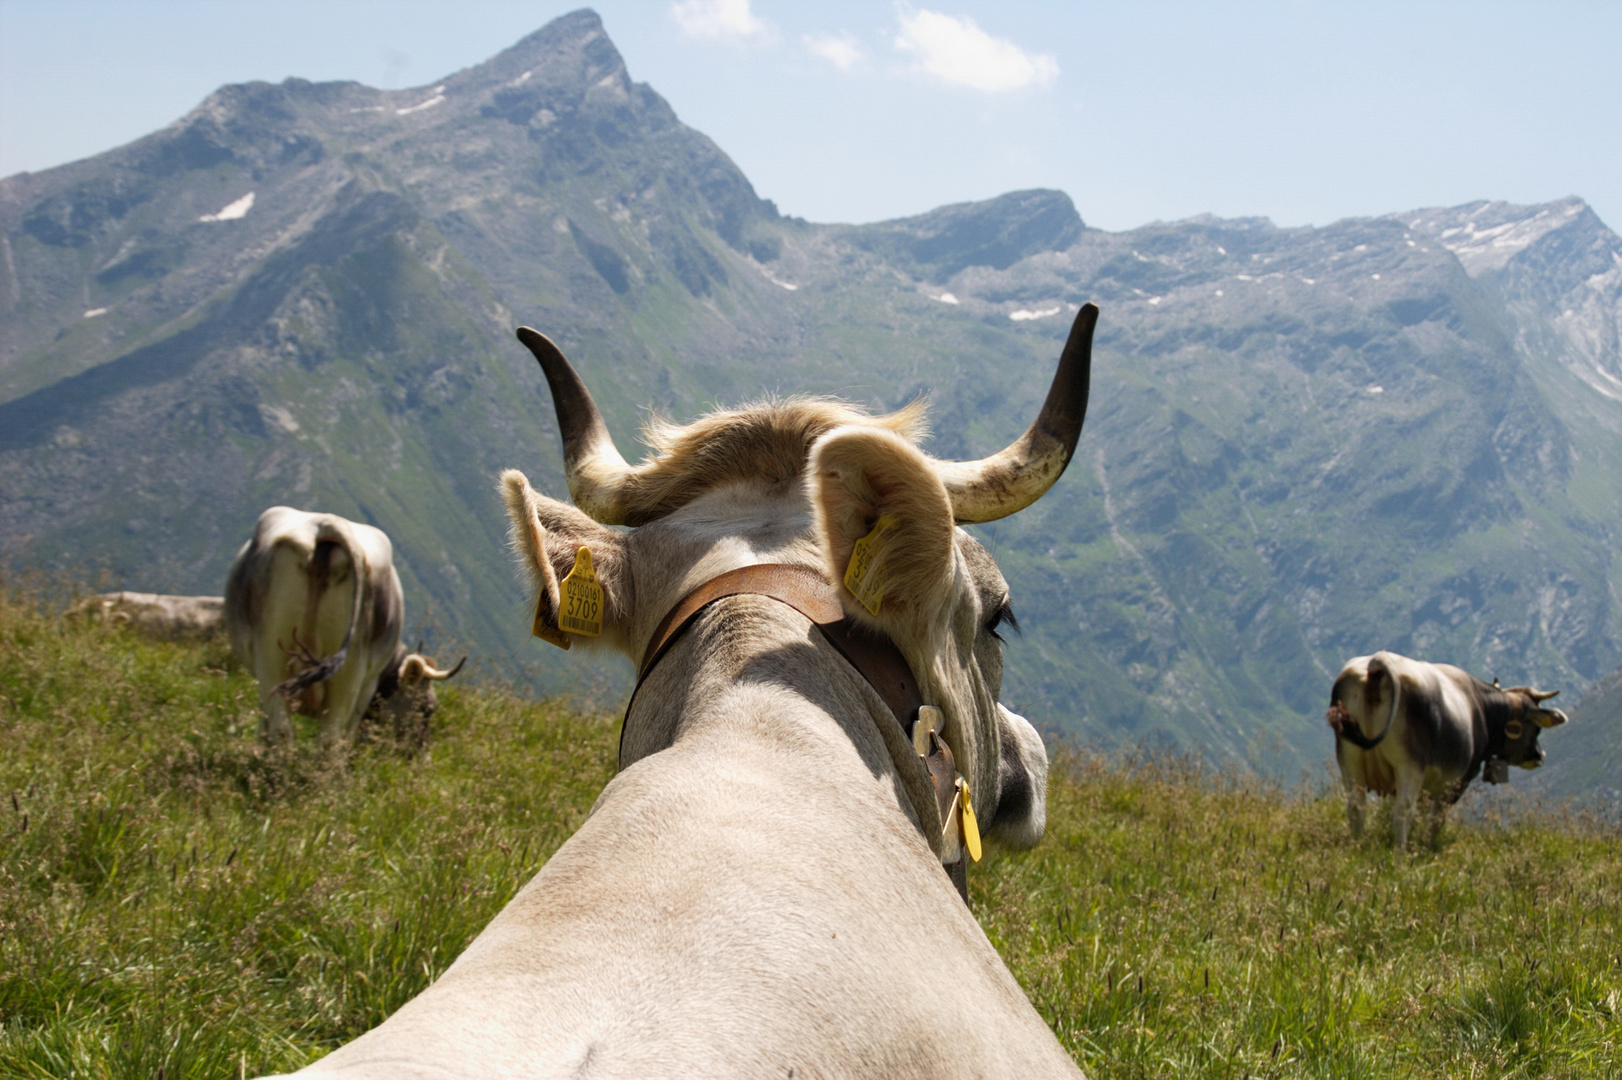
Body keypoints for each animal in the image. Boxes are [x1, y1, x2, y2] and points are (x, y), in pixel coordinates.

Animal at [222, 505, 463, 745]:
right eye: (427, 708)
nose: (423, 749)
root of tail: (327, 524)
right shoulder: (367, 688)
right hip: (339, 670)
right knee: (326, 737)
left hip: (274, 658)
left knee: (294, 732)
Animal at [1323, 651, 1563, 843]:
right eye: (1537, 728)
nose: (1540, 755)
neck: (1482, 708)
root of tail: (1377, 661)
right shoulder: (1456, 782)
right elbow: (1436, 819)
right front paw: (1427, 845)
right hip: (1410, 764)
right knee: (1403, 809)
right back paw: (1399, 855)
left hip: (1349, 759)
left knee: (1356, 806)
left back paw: (1357, 846)